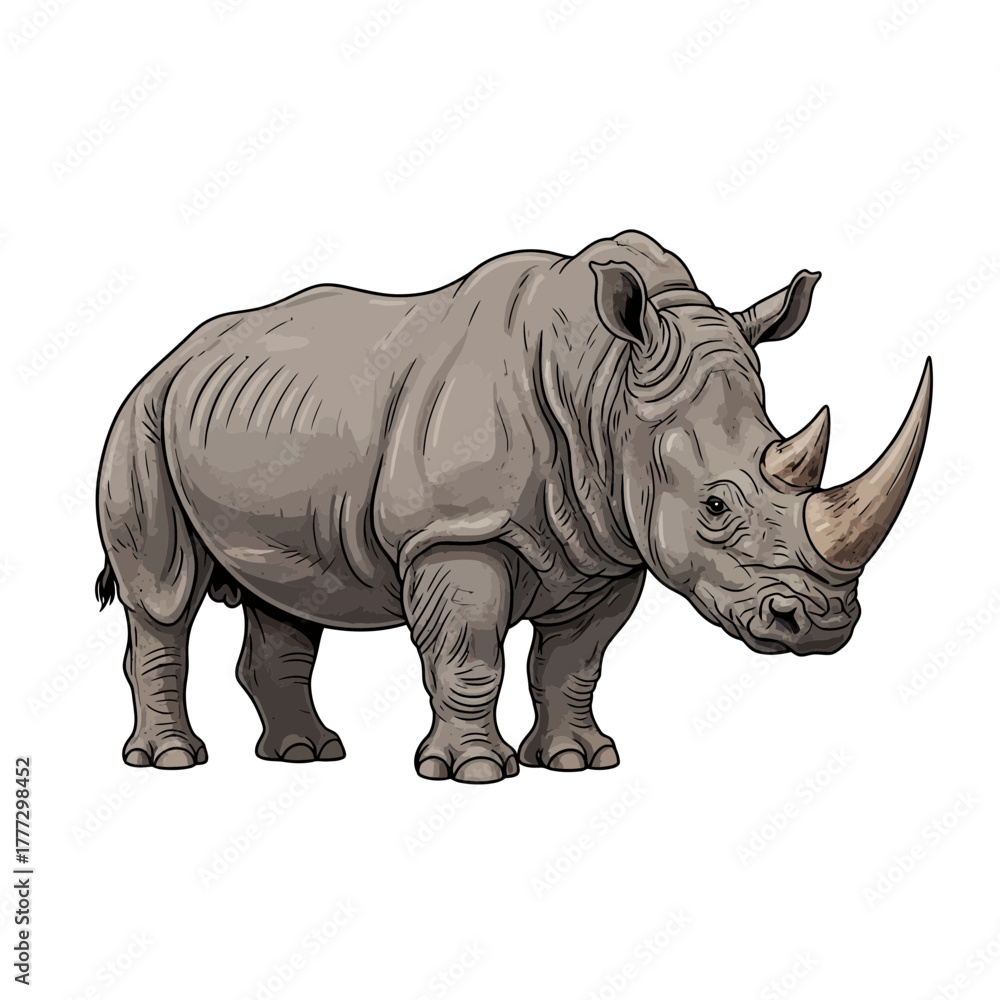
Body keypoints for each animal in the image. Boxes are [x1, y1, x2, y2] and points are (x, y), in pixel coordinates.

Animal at [95, 230, 931, 783]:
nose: (823, 626)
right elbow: (470, 653)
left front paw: (579, 761)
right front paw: (474, 773)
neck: (605, 388)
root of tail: (173, 355)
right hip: (141, 416)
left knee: (286, 600)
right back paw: (172, 761)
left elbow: (574, 663)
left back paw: (306, 756)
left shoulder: (612, 545)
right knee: (161, 595)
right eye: (717, 506)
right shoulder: (455, 534)